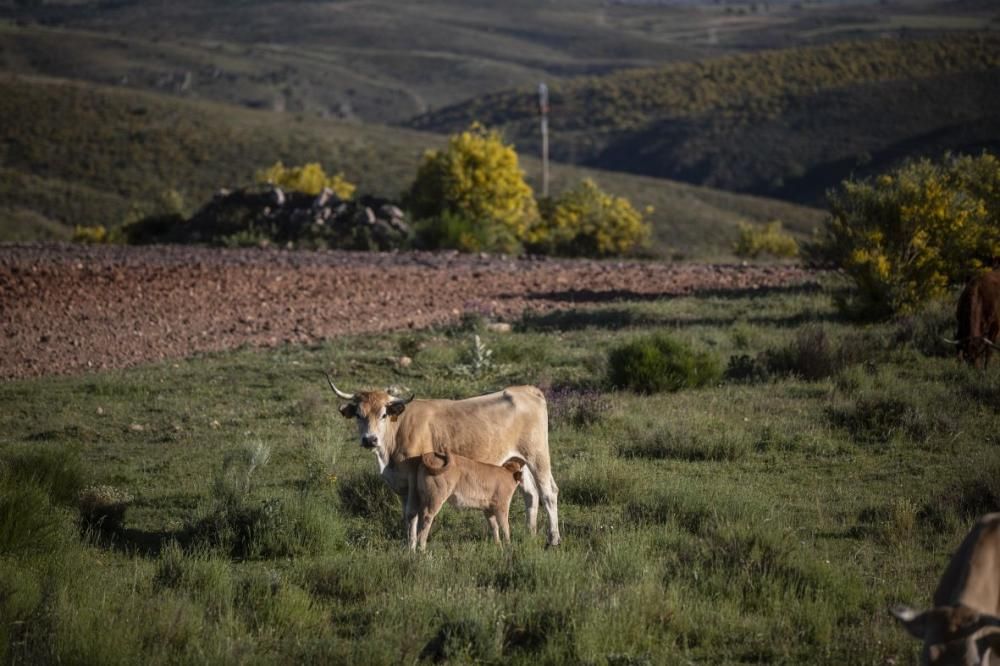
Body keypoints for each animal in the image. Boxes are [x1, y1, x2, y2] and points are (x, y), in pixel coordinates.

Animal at [328, 376, 564, 548]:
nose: (370, 439)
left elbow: (413, 514)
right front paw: (408, 545)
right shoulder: (403, 485)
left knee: (548, 493)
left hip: (537, 455)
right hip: (517, 459)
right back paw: (530, 534)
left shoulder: (413, 481)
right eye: (359, 414)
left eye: (384, 414)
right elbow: (407, 516)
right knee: (531, 494)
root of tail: (526, 390)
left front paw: (413, 548)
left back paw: (553, 539)